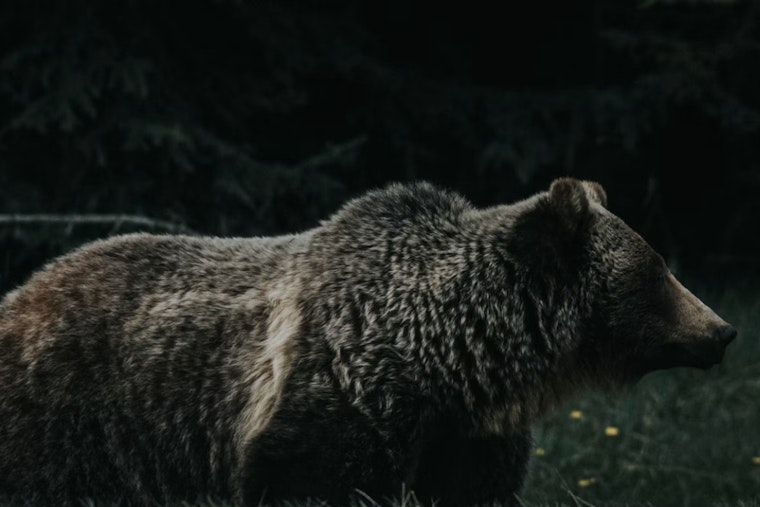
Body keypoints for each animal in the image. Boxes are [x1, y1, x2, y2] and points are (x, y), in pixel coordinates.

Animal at [0, 178, 735, 506]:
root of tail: (22, 291)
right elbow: (314, 478)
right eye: (656, 269)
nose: (723, 330)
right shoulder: (334, 401)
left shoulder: (465, 438)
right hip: (77, 423)